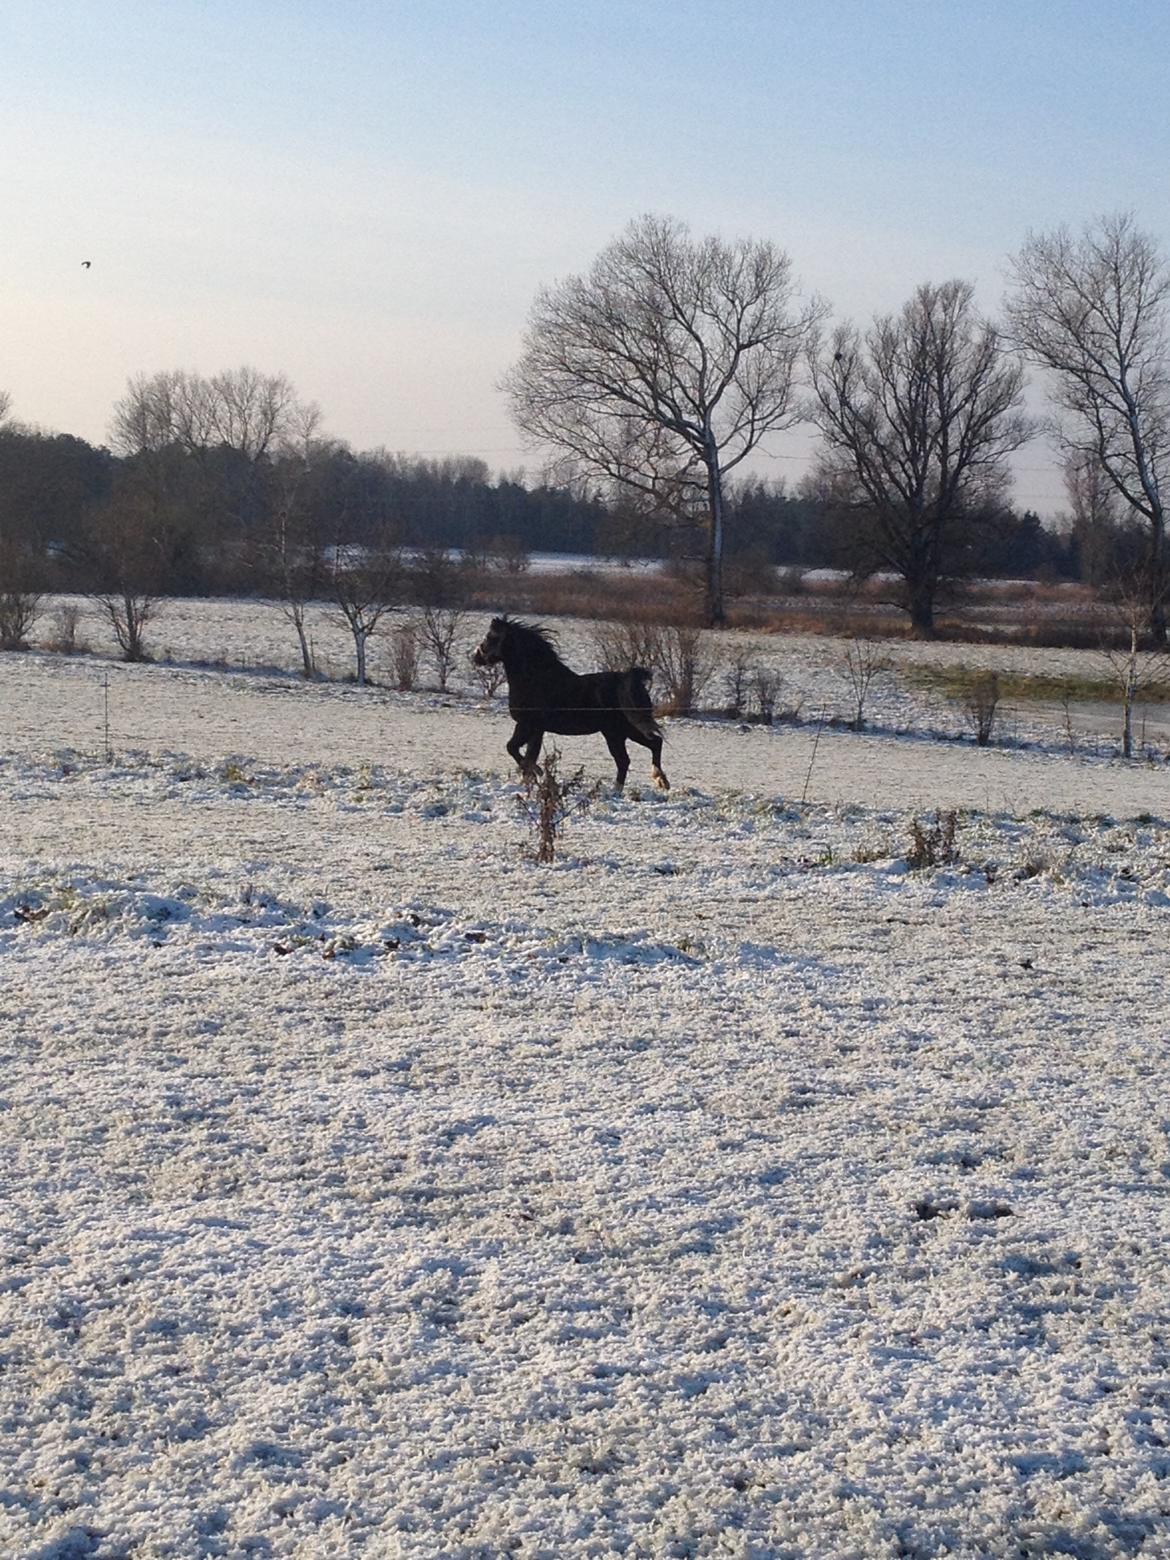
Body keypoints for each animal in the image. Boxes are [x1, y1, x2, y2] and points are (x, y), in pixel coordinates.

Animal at [471, 616, 670, 792]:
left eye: (490, 637)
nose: (475, 657)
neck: (535, 679)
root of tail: (629, 680)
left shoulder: (526, 725)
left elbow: (513, 748)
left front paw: (537, 772)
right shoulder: (536, 729)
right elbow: (529, 754)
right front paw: (531, 779)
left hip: (614, 733)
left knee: (625, 759)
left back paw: (617, 792)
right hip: (627, 730)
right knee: (654, 744)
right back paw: (660, 781)